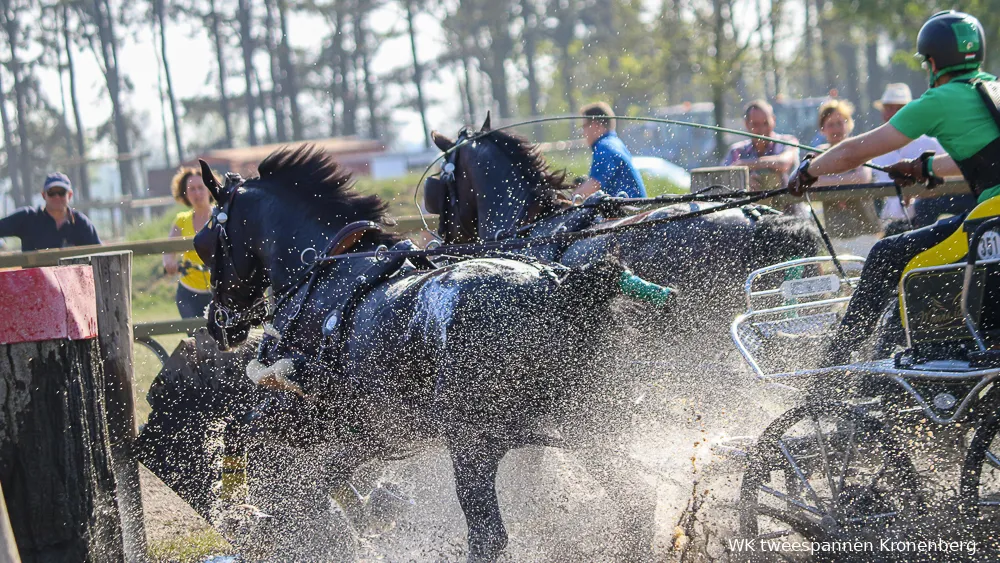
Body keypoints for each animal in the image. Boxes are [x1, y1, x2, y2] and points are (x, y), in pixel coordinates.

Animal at [194, 147, 660, 563]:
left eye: (205, 242)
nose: (217, 322)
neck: (326, 278)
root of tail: (558, 285)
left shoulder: (303, 412)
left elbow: (242, 432)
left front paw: (243, 513)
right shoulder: (368, 432)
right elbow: (326, 479)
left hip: (472, 443)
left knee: (488, 537)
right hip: (587, 424)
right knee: (638, 499)